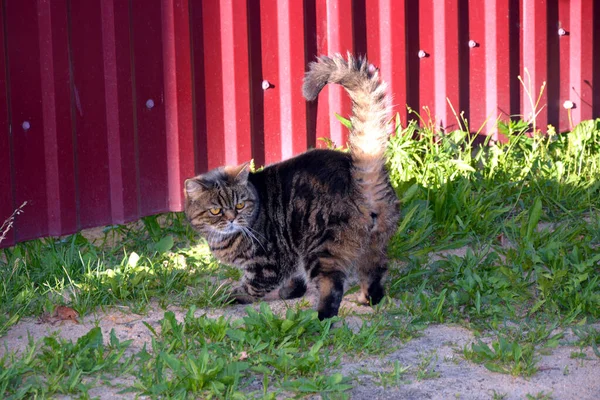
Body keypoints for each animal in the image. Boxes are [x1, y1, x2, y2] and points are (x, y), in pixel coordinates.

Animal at [183, 54, 398, 320]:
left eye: (240, 205)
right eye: (216, 210)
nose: (232, 218)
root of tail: (359, 171)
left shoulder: (268, 263)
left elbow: (252, 287)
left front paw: (231, 296)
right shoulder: (290, 260)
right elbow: (293, 284)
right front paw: (286, 293)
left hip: (320, 250)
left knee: (331, 286)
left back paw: (320, 317)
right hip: (375, 244)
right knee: (375, 277)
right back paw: (366, 299)